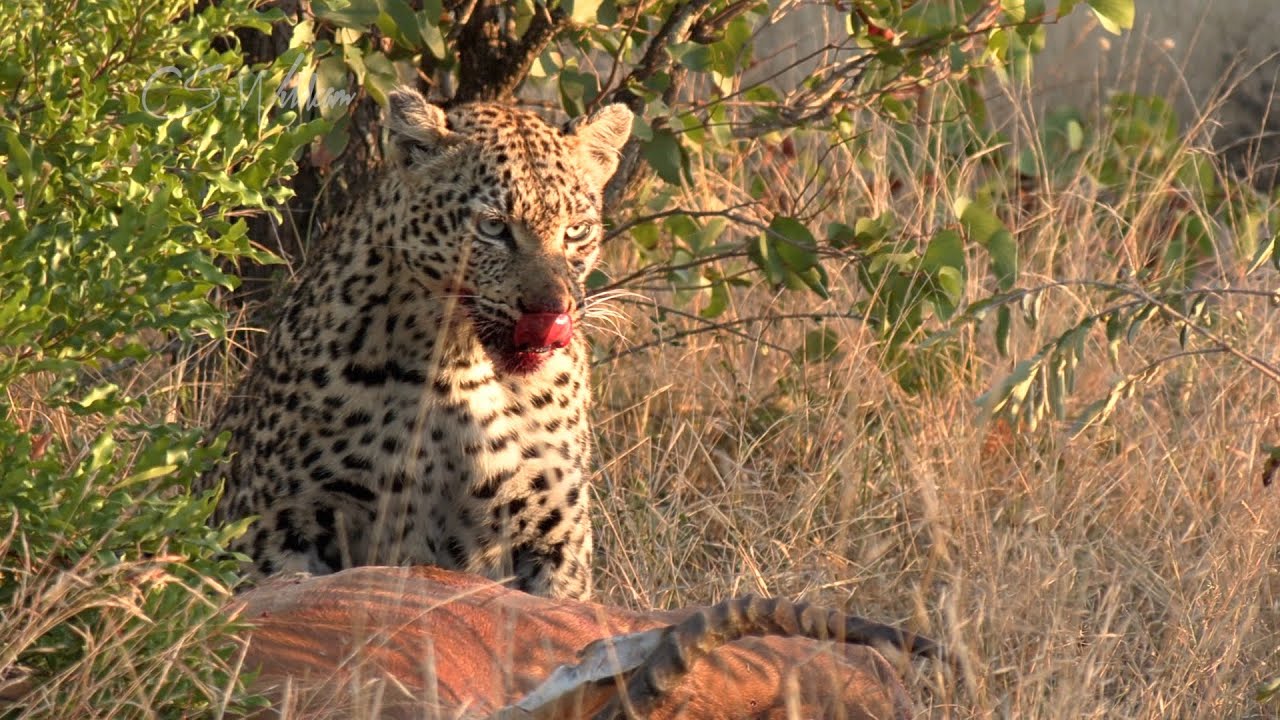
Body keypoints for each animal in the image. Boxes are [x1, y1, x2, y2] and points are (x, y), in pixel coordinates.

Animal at [198, 87, 633, 600]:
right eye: (493, 227)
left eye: (576, 230)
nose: (551, 314)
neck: (459, 367)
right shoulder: (278, 522)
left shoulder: (555, 537)